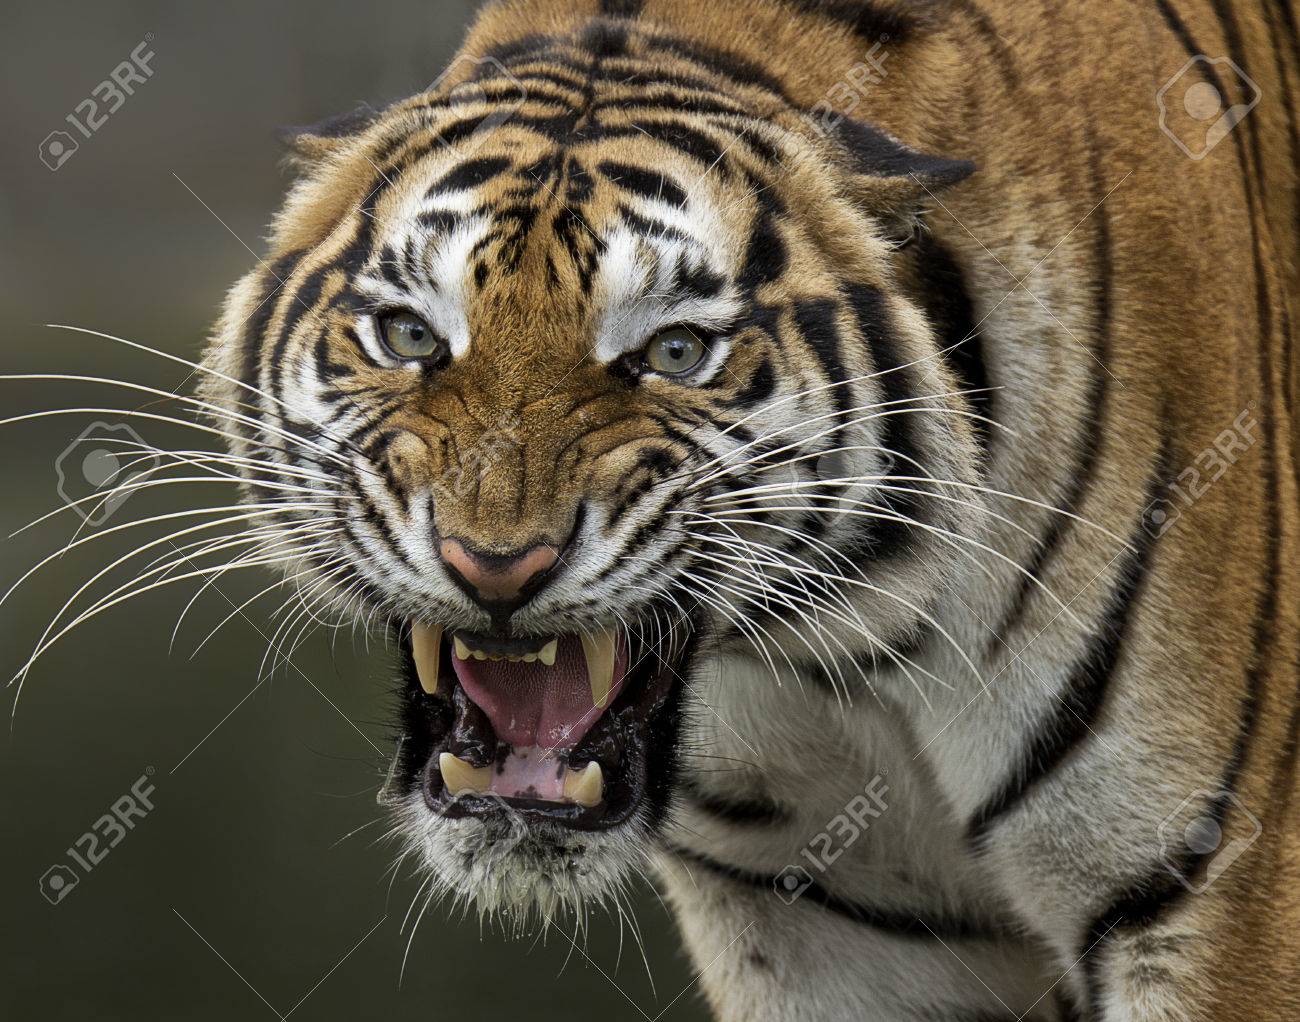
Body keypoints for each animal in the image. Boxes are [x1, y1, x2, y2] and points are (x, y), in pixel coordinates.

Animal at [191, 0, 1300, 1018]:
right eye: (411, 335)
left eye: (676, 351)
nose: (495, 565)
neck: (854, 654)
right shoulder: (827, 929)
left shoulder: (1218, 891)